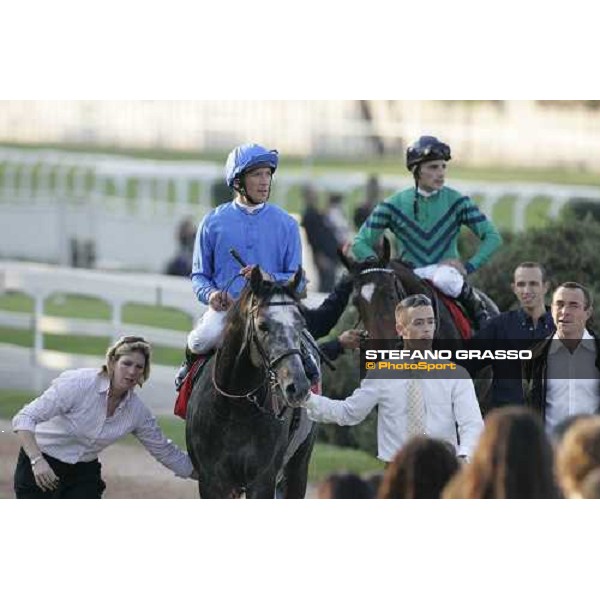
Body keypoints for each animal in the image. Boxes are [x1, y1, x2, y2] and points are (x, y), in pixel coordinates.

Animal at [186, 266, 318, 496]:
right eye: (263, 326)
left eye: (301, 324)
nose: (299, 386)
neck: (235, 407)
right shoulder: (211, 480)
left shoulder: (262, 480)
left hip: (298, 468)